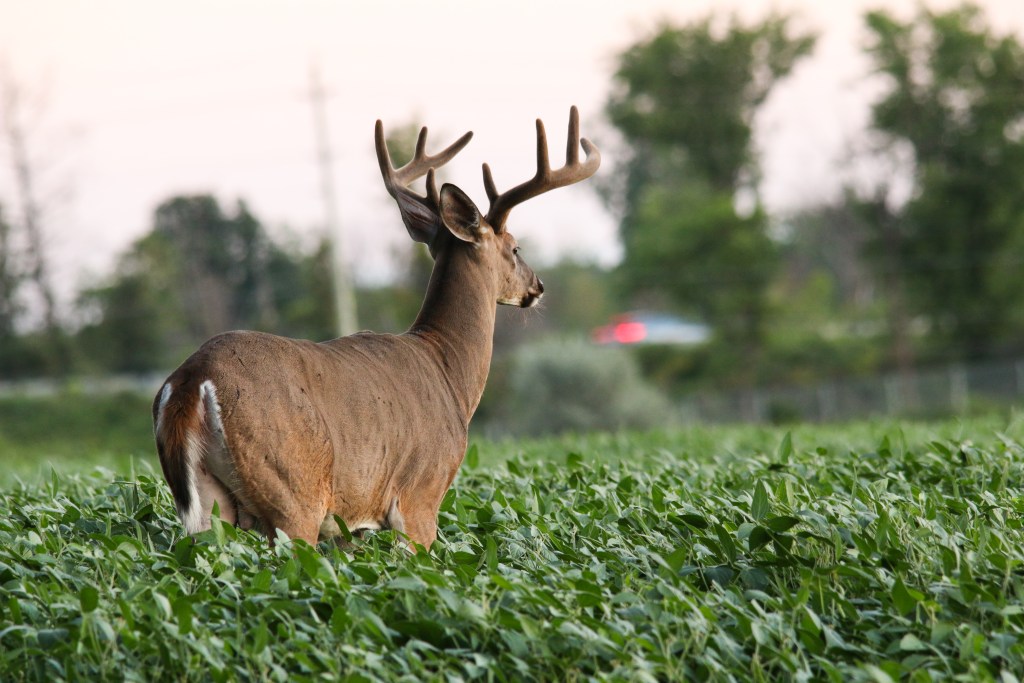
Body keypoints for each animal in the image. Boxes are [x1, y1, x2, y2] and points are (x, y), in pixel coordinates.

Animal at [151, 104, 598, 548]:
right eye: (516, 248)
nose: (538, 286)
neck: (448, 369)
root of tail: (194, 377)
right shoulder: (421, 495)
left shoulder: (351, 524)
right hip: (292, 492)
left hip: (209, 502)